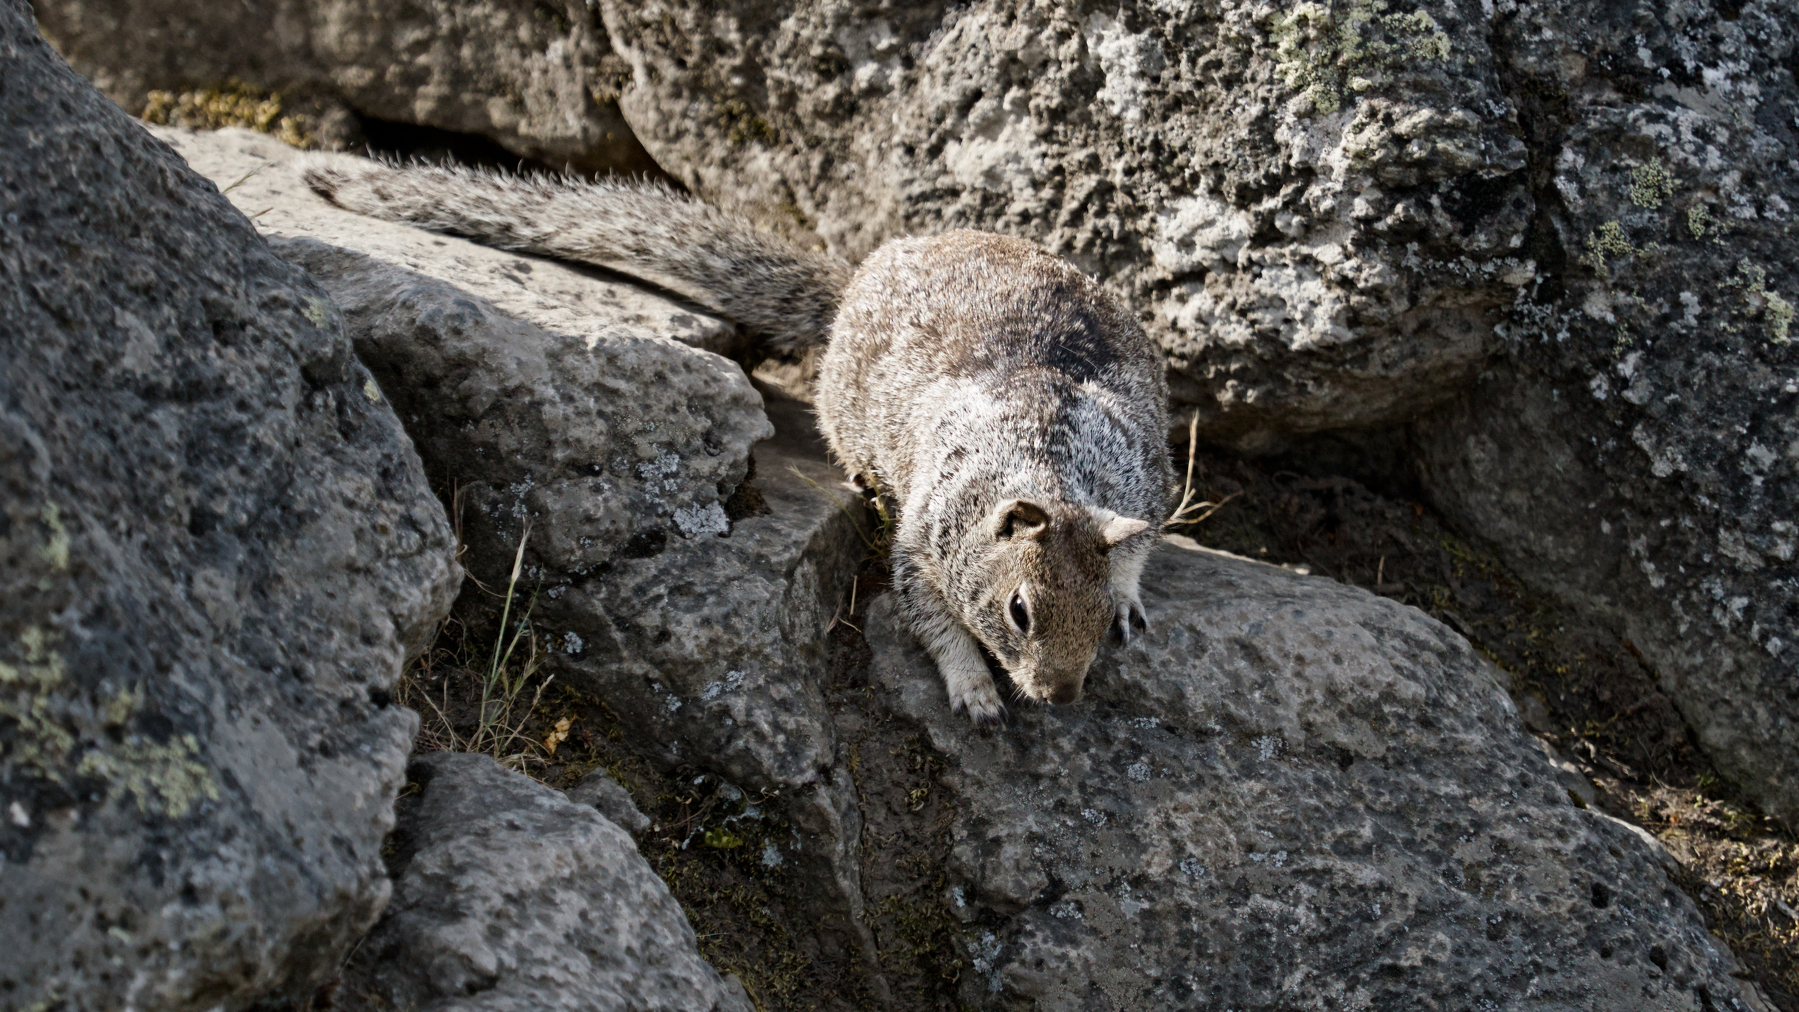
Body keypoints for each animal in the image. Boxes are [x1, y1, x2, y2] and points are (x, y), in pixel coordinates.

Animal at [301, 160, 1173, 725]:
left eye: (1095, 610)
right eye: (1019, 610)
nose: (1060, 696)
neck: (1046, 460)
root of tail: (857, 276)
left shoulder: (1140, 472)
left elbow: (1136, 542)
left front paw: (1131, 599)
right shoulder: (928, 535)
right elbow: (925, 614)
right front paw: (974, 689)